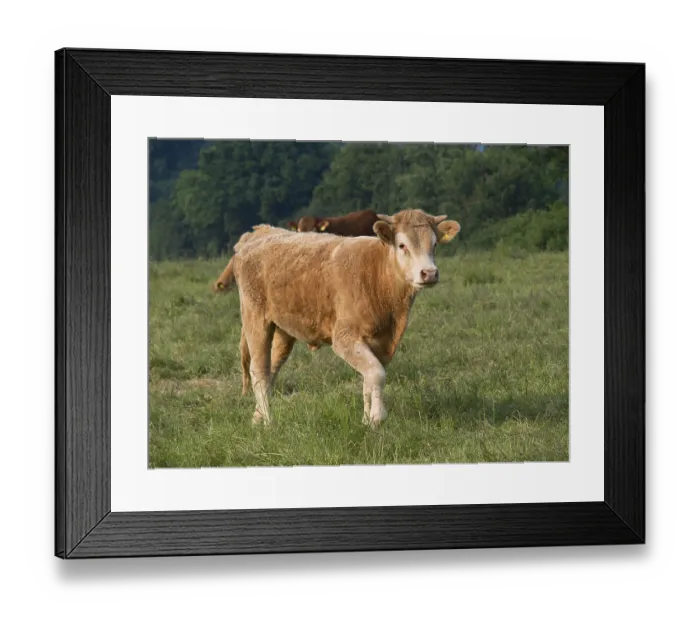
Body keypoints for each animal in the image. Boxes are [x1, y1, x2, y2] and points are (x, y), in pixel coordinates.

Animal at [230, 208, 461, 428]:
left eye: (434, 244)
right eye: (402, 245)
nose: (429, 273)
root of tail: (259, 235)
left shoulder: (379, 342)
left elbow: (369, 380)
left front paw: (367, 421)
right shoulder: (344, 337)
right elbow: (376, 374)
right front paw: (377, 417)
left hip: (283, 330)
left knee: (271, 370)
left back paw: (257, 418)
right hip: (255, 318)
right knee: (259, 372)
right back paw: (269, 422)